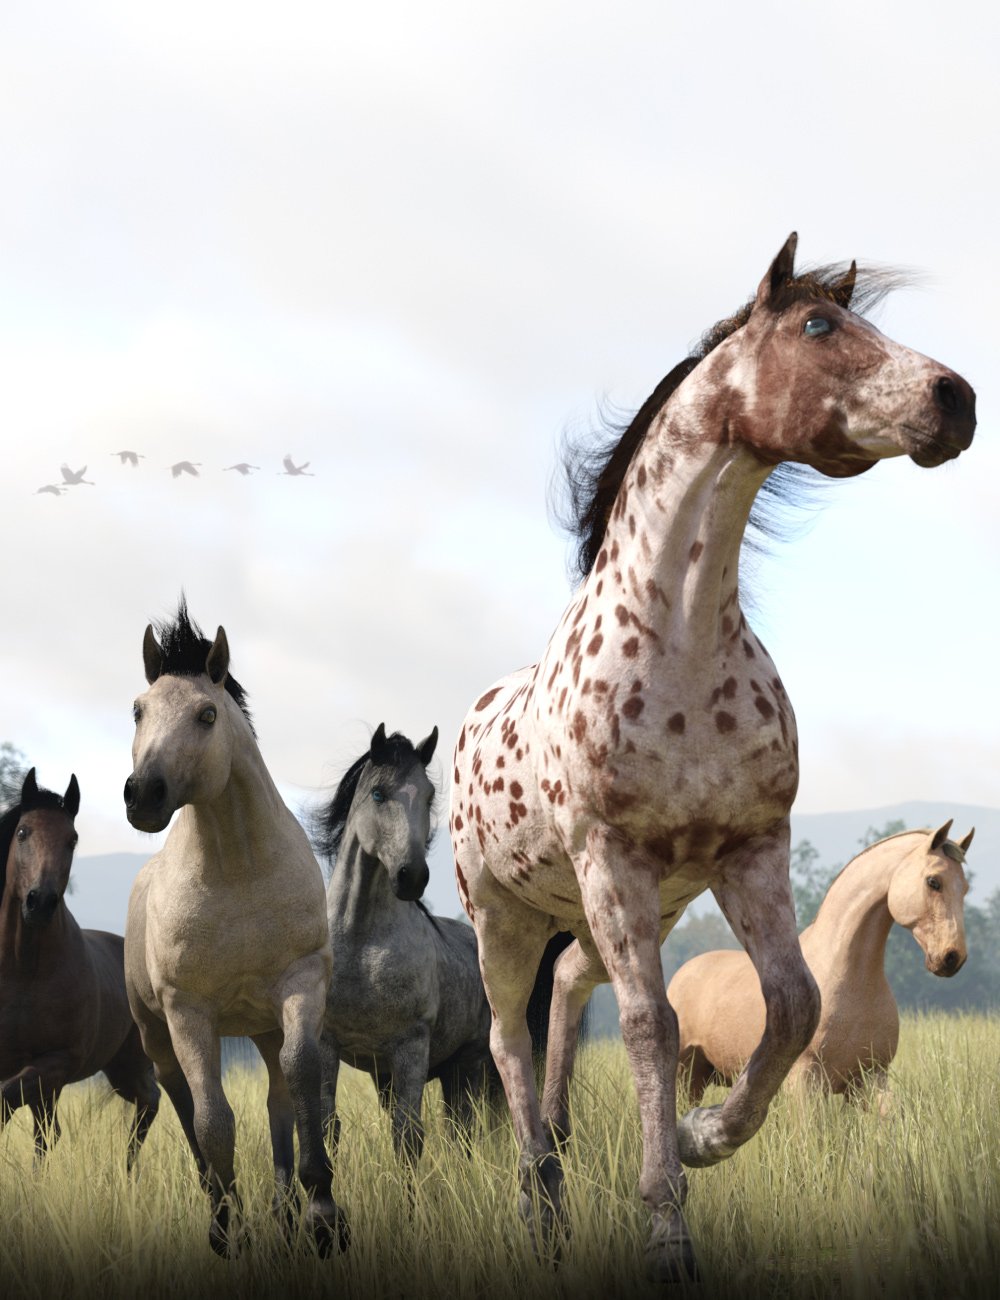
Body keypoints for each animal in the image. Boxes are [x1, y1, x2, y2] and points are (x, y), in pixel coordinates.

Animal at [0, 769, 158, 1165]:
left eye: (72, 840)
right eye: (22, 832)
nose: (39, 902)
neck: (21, 970)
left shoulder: (57, 1061)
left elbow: (5, 1100)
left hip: (128, 1065)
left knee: (150, 1102)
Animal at [123, 601, 347, 1257]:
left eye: (207, 714)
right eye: (139, 710)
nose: (143, 795)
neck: (240, 871)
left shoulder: (301, 984)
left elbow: (301, 1077)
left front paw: (322, 1213)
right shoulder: (188, 1011)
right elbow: (212, 1119)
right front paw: (227, 1229)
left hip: (263, 1024)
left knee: (278, 1093)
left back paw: (283, 1208)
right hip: (157, 1034)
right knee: (178, 1098)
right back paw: (220, 1199)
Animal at [314, 724, 494, 1167]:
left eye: (428, 796)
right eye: (378, 794)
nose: (411, 876)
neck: (361, 944)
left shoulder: (411, 1047)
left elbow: (408, 1136)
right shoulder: (327, 1046)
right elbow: (327, 1128)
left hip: (470, 1063)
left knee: (465, 1131)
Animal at [669, 822, 972, 1105]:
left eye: (965, 888)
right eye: (933, 881)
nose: (952, 957)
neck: (848, 978)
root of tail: (681, 974)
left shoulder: (871, 1077)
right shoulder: (805, 1083)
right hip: (686, 1076)